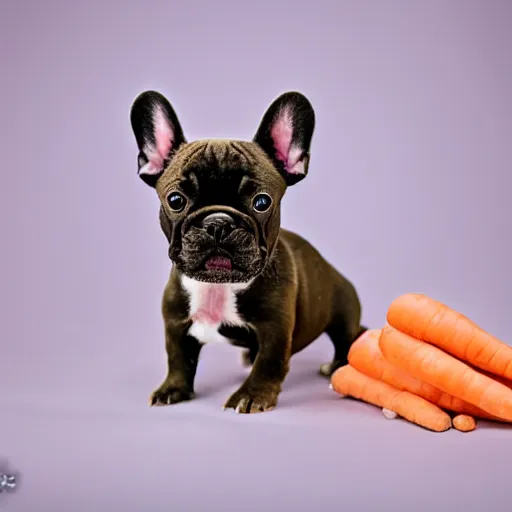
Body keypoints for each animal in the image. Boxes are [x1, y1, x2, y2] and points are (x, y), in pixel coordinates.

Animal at [130, 90, 366, 414]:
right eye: (176, 200)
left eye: (261, 202)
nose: (217, 223)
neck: (219, 287)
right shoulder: (176, 324)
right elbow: (178, 359)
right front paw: (173, 389)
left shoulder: (275, 329)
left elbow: (269, 363)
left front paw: (251, 396)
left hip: (342, 309)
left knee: (349, 338)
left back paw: (337, 365)